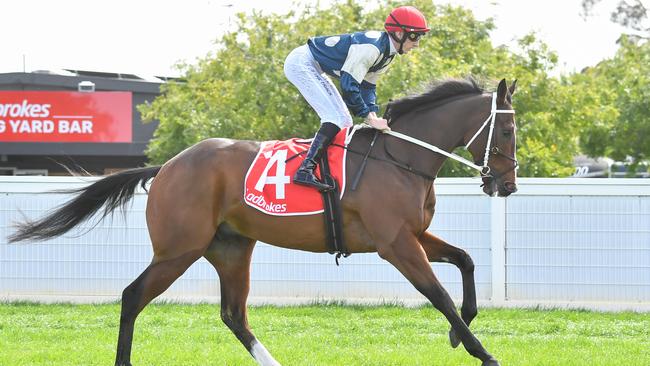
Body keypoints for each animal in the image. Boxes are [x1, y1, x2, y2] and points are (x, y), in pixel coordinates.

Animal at [7, 77, 516, 366]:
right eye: (508, 129)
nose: (507, 185)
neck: (401, 156)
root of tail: (167, 165)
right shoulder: (396, 244)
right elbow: (440, 295)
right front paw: (483, 352)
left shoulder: (411, 235)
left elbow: (465, 261)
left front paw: (459, 333)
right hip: (179, 249)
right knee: (133, 297)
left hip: (231, 248)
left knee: (234, 314)